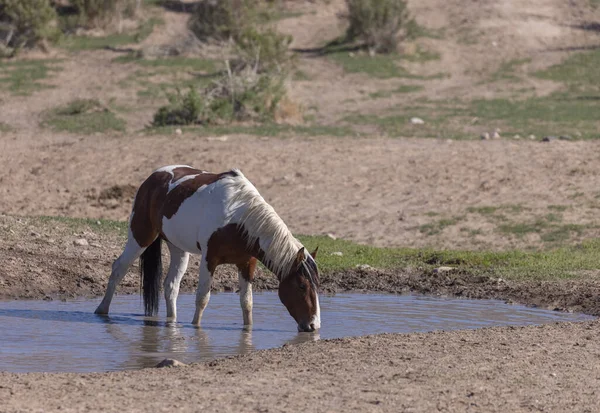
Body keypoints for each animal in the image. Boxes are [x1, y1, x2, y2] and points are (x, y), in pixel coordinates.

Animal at [94, 164, 322, 332]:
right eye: (302, 286)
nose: (313, 326)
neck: (237, 217)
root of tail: (153, 177)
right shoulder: (209, 259)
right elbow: (202, 298)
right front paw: (196, 327)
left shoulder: (247, 264)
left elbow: (247, 302)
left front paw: (248, 330)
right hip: (140, 236)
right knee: (118, 269)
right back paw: (101, 310)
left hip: (178, 249)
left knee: (170, 285)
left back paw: (172, 320)